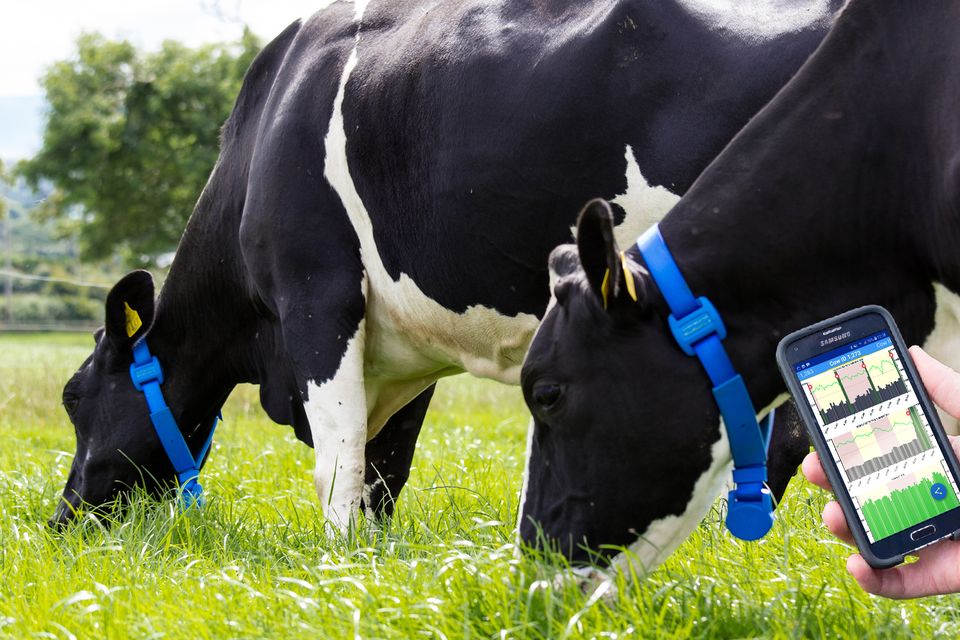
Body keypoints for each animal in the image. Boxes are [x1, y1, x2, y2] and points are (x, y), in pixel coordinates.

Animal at [51, 0, 840, 530]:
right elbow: (384, 467)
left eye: (73, 396)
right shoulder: (399, 343)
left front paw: (337, 567)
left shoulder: (316, 296)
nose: (61, 521)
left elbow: (338, 461)